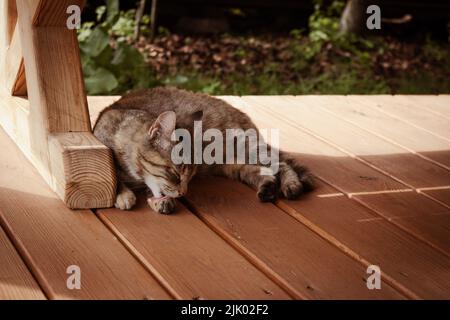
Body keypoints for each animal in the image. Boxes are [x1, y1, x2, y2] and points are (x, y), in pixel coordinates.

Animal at [93, 86, 314, 214]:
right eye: (176, 174)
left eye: (189, 177)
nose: (183, 193)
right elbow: (110, 172)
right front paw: (127, 194)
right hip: (233, 164)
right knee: (261, 172)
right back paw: (267, 188)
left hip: (244, 146)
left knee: (280, 163)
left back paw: (291, 184)